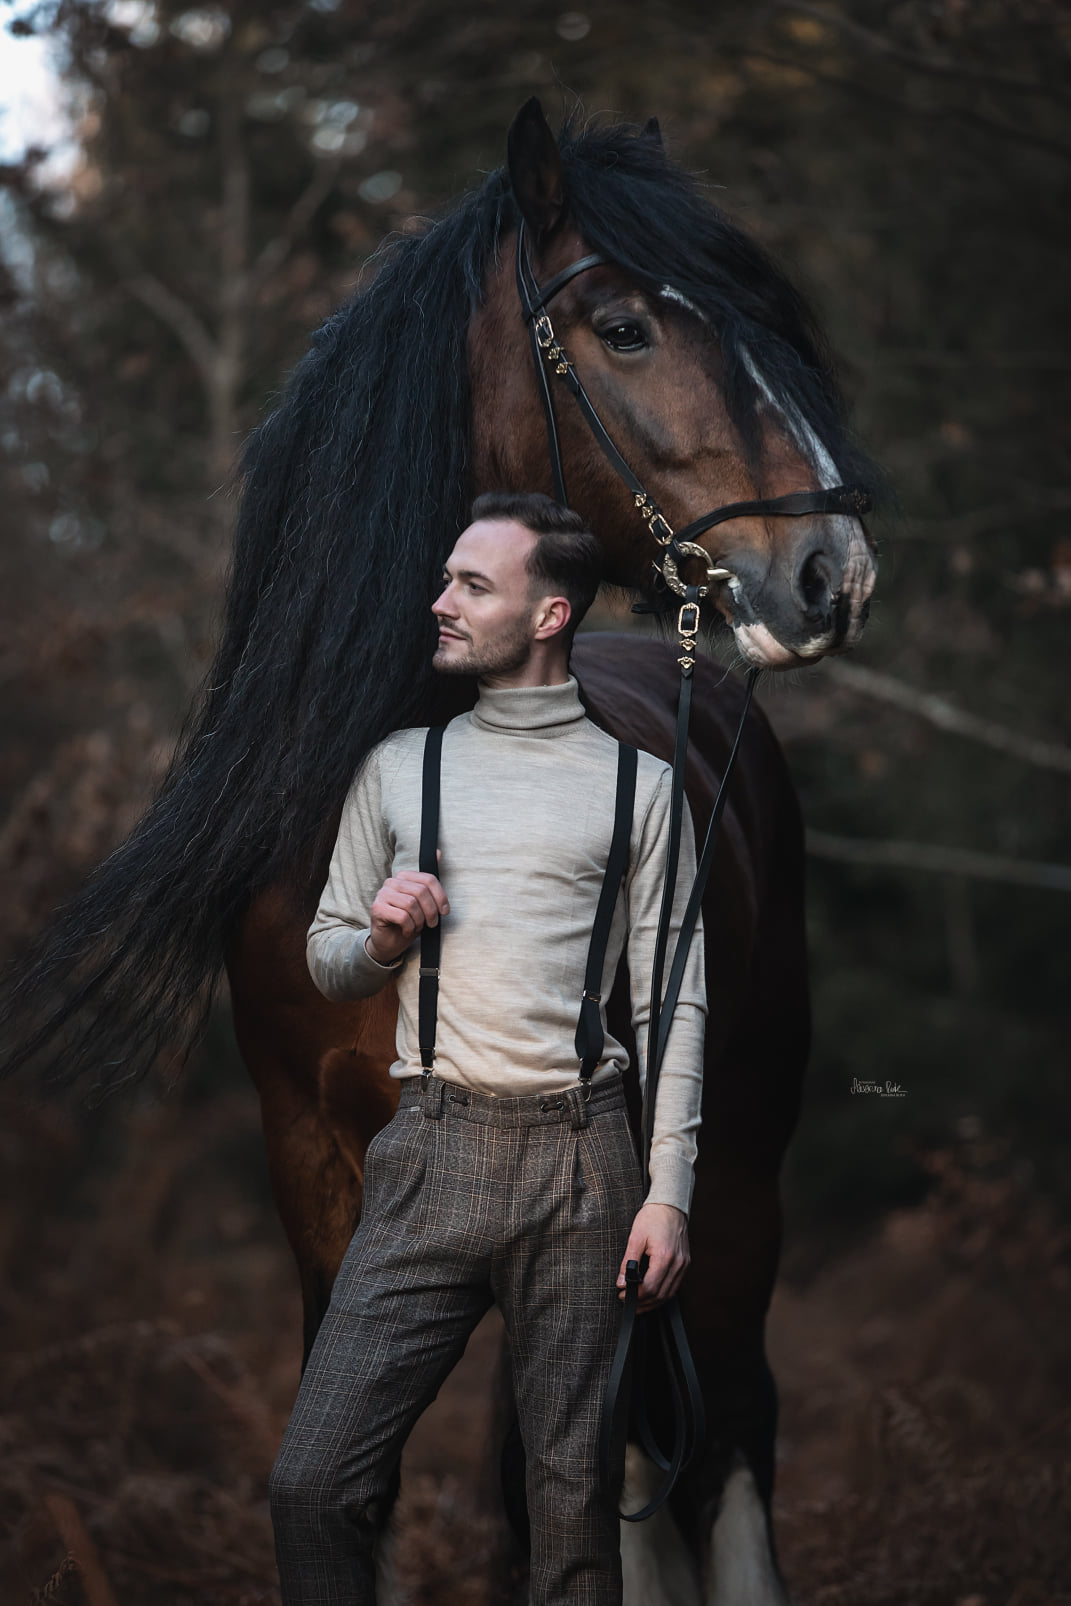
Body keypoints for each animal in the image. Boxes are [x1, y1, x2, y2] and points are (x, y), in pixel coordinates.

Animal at [2, 103, 879, 1606]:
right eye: (625, 328)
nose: (834, 572)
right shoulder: (314, 1170)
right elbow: (368, 1477)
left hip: (737, 1175)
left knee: (720, 1442)